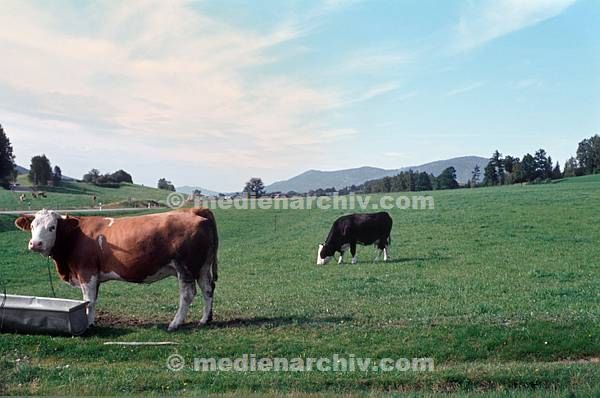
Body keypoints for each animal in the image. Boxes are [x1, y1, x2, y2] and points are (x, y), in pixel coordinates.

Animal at [14, 207, 218, 332]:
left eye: (52, 227)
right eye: (32, 226)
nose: (36, 244)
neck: (76, 236)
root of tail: (193, 211)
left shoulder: (86, 272)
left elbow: (89, 301)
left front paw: (88, 325)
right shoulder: (94, 275)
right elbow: (93, 300)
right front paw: (91, 321)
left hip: (186, 267)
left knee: (188, 294)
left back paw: (175, 323)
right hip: (202, 266)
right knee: (207, 289)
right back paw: (204, 320)